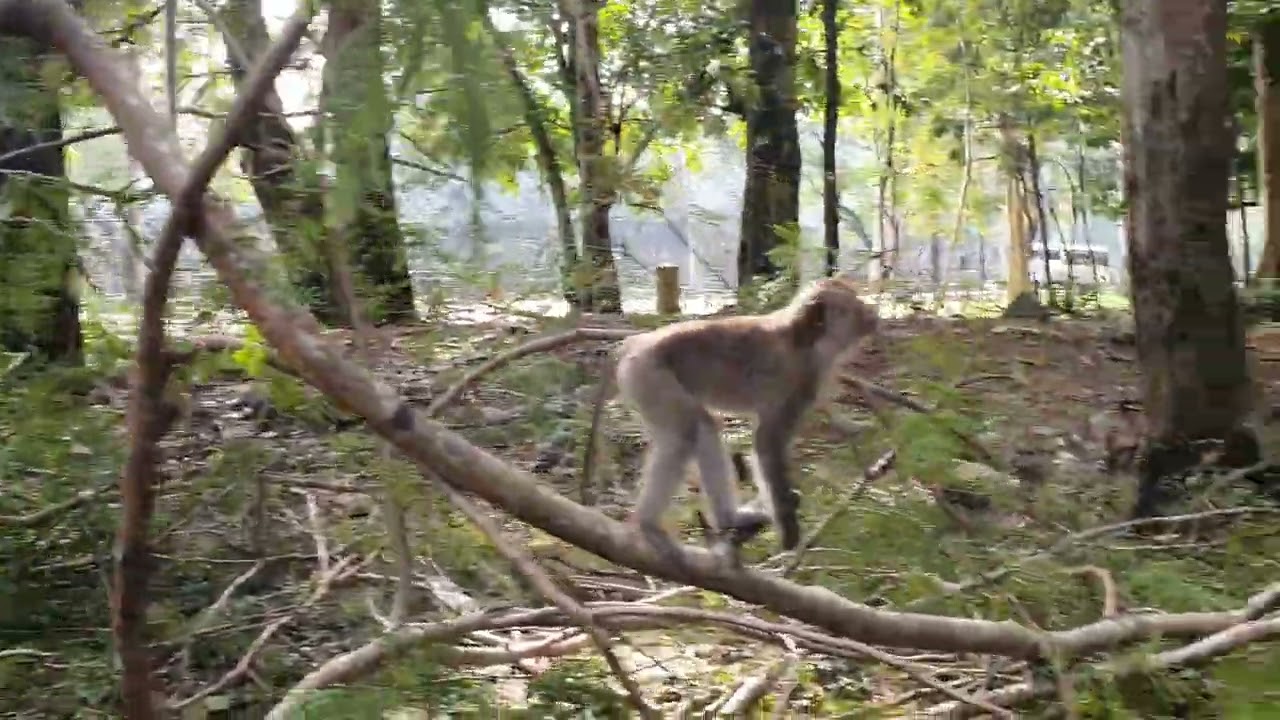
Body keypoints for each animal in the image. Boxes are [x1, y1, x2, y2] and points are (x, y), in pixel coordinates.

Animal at [588, 276, 878, 568]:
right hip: (648, 374)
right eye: (855, 305)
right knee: (684, 434)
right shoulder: (800, 379)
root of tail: (635, 342)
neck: (806, 339)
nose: (872, 312)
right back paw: (648, 524)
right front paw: (789, 532)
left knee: (702, 427)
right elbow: (767, 443)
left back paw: (729, 519)